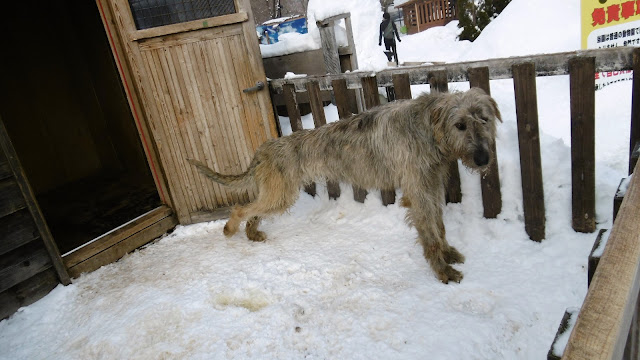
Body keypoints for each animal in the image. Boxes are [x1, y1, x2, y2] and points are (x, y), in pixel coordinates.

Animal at [188, 88, 502, 284]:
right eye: (460, 125)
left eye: (484, 119)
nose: (483, 158)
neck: (427, 128)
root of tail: (264, 148)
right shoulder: (418, 191)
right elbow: (430, 234)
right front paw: (442, 270)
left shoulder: (430, 185)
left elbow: (440, 225)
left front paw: (448, 254)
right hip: (280, 194)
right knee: (242, 207)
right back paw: (230, 229)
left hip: (278, 195)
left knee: (254, 210)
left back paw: (252, 233)